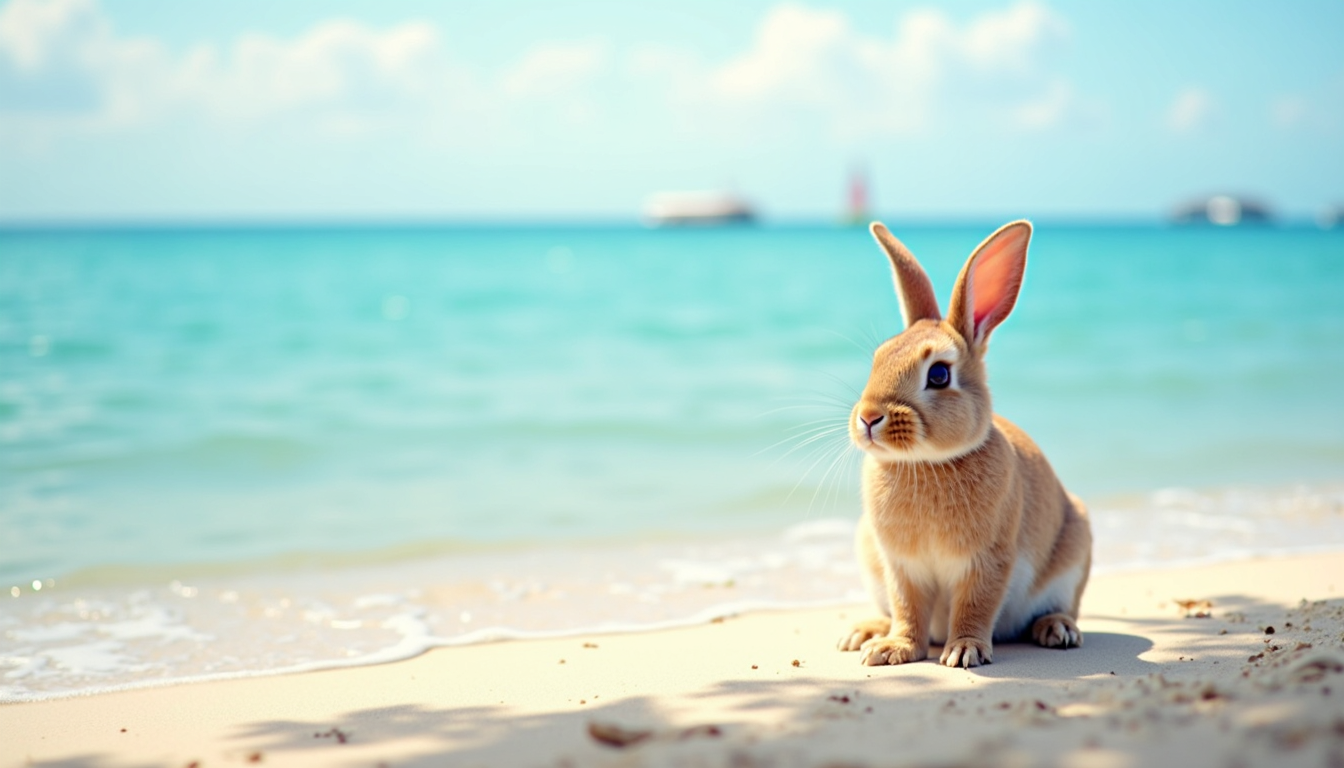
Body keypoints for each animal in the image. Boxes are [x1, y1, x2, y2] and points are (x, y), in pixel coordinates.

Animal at [836, 220, 1092, 668]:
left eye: (938, 375)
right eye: (878, 358)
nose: (868, 418)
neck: (927, 463)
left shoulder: (988, 561)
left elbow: (976, 604)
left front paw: (964, 651)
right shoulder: (901, 566)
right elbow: (907, 608)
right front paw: (894, 649)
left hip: (1075, 554)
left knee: (1061, 607)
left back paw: (1057, 629)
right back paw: (865, 633)